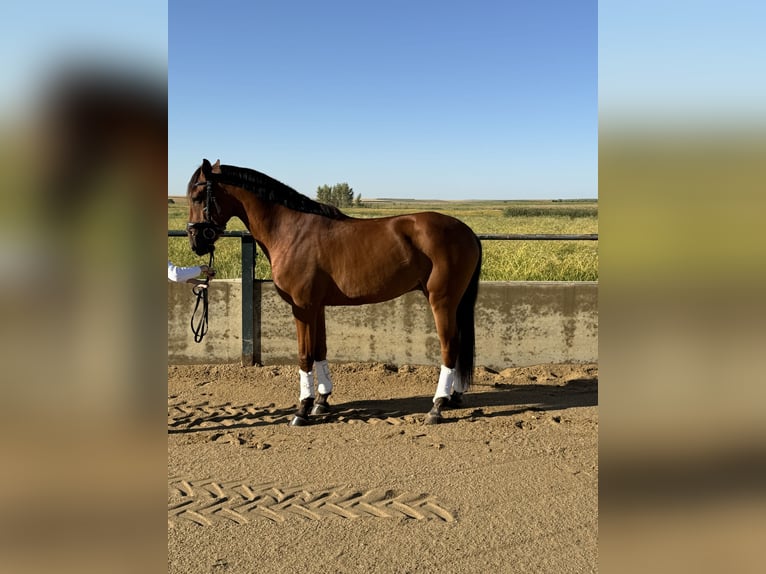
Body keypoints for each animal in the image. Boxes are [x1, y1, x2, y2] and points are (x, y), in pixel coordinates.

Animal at [186, 159, 482, 426]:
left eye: (198, 196)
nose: (196, 243)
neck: (291, 230)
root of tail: (467, 232)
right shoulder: (316, 306)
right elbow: (320, 350)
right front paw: (320, 401)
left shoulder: (302, 307)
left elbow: (304, 355)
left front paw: (302, 410)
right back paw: (454, 396)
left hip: (442, 301)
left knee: (449, 346)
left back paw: (437, 406)